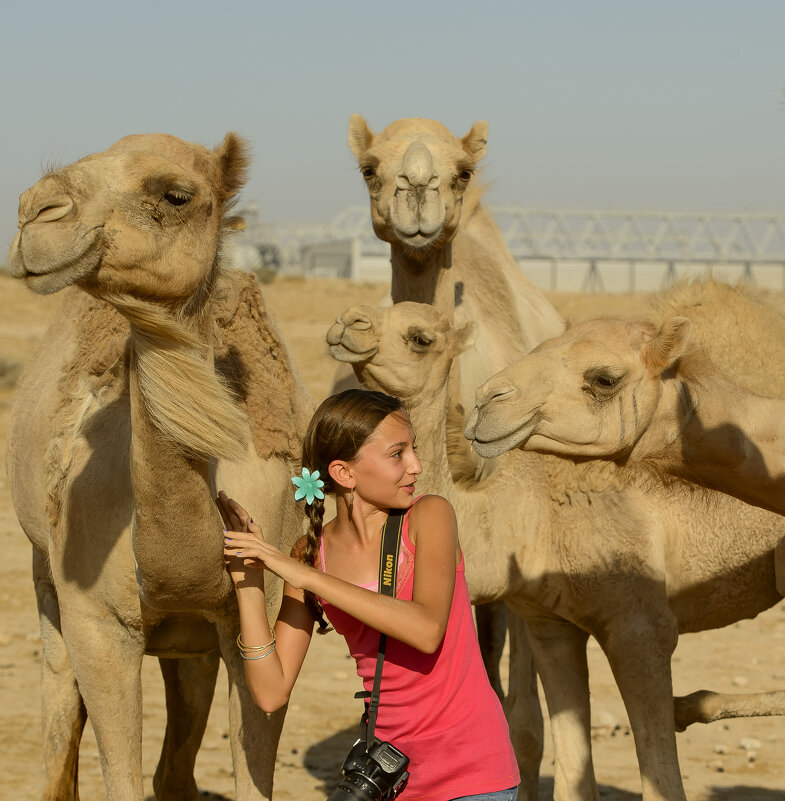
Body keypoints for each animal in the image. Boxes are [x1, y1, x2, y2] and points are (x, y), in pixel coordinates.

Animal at [7, 133, 312, 800]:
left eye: (175, 195)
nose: (35, 213)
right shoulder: (96, 621)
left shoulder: (261, 605)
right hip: (45, 574)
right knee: (59, 725)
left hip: (187, 640)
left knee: (177, 757)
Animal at [328, 300, 784, 800]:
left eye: (420, 337)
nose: (348, 321)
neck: (527, 512)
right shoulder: (551, 625)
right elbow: (571, 773)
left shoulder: (641, 626)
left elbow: (662, 782)